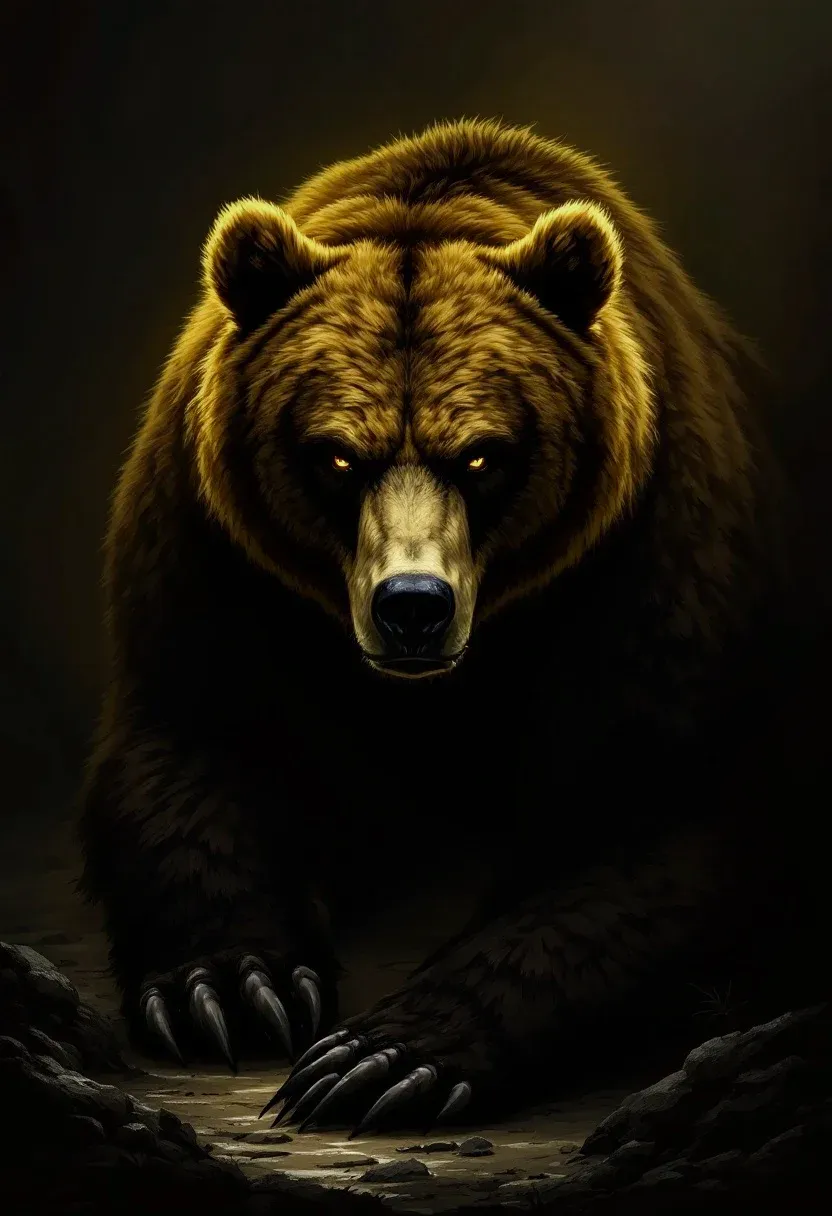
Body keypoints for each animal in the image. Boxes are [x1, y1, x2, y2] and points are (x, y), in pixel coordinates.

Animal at [79, 117, 797, 1135]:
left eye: (483, 454)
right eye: (337, 455)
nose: (412, 605)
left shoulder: (654, 544)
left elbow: (653, 818)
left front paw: (381, 1059)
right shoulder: (211, 541)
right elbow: (194, 743)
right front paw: (230, 989)